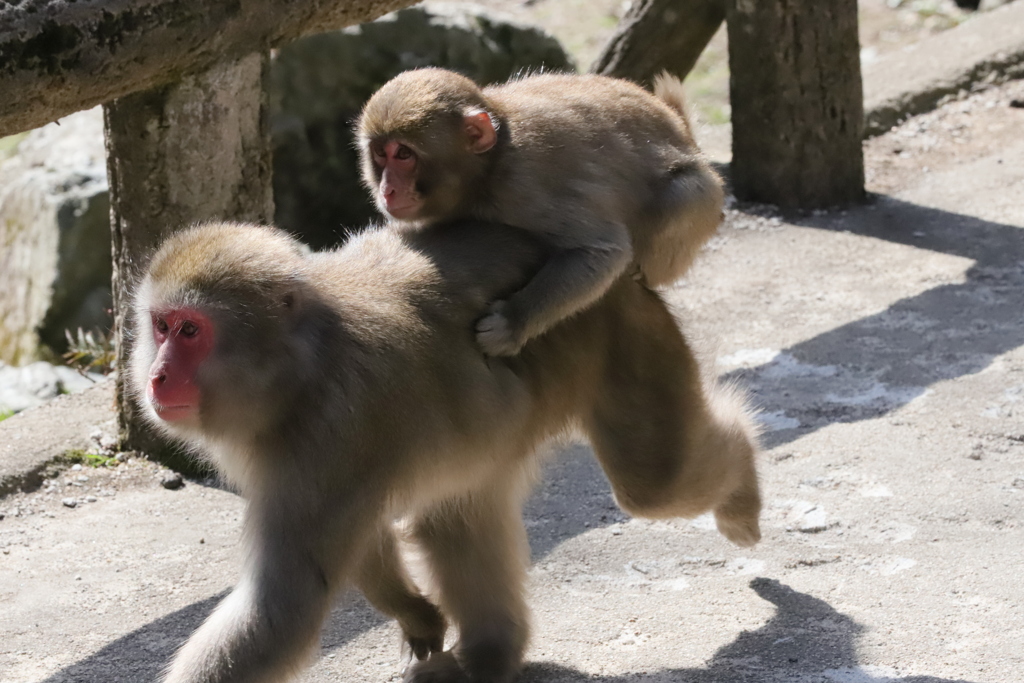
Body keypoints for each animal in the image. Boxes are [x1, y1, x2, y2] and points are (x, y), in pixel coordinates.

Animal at [130, 222, 761, 679]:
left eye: (190, 332)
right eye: (160, 327)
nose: (157, 377)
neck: (304, 368)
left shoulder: (325, 441)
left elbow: (284, 604)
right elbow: (362, 537)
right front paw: (416, 613)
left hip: (627, 333)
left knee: (652, 480)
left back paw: (742, 489)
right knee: (457, 512)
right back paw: (490, 653)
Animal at [356, 68, 724, 358]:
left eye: (404, 154)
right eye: (381, 154)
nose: (387, 189)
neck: (490, 164)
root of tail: (683, 130)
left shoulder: (524, 188)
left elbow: (603, 250)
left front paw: (512, 323)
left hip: (701, 208)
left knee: (680, 198)